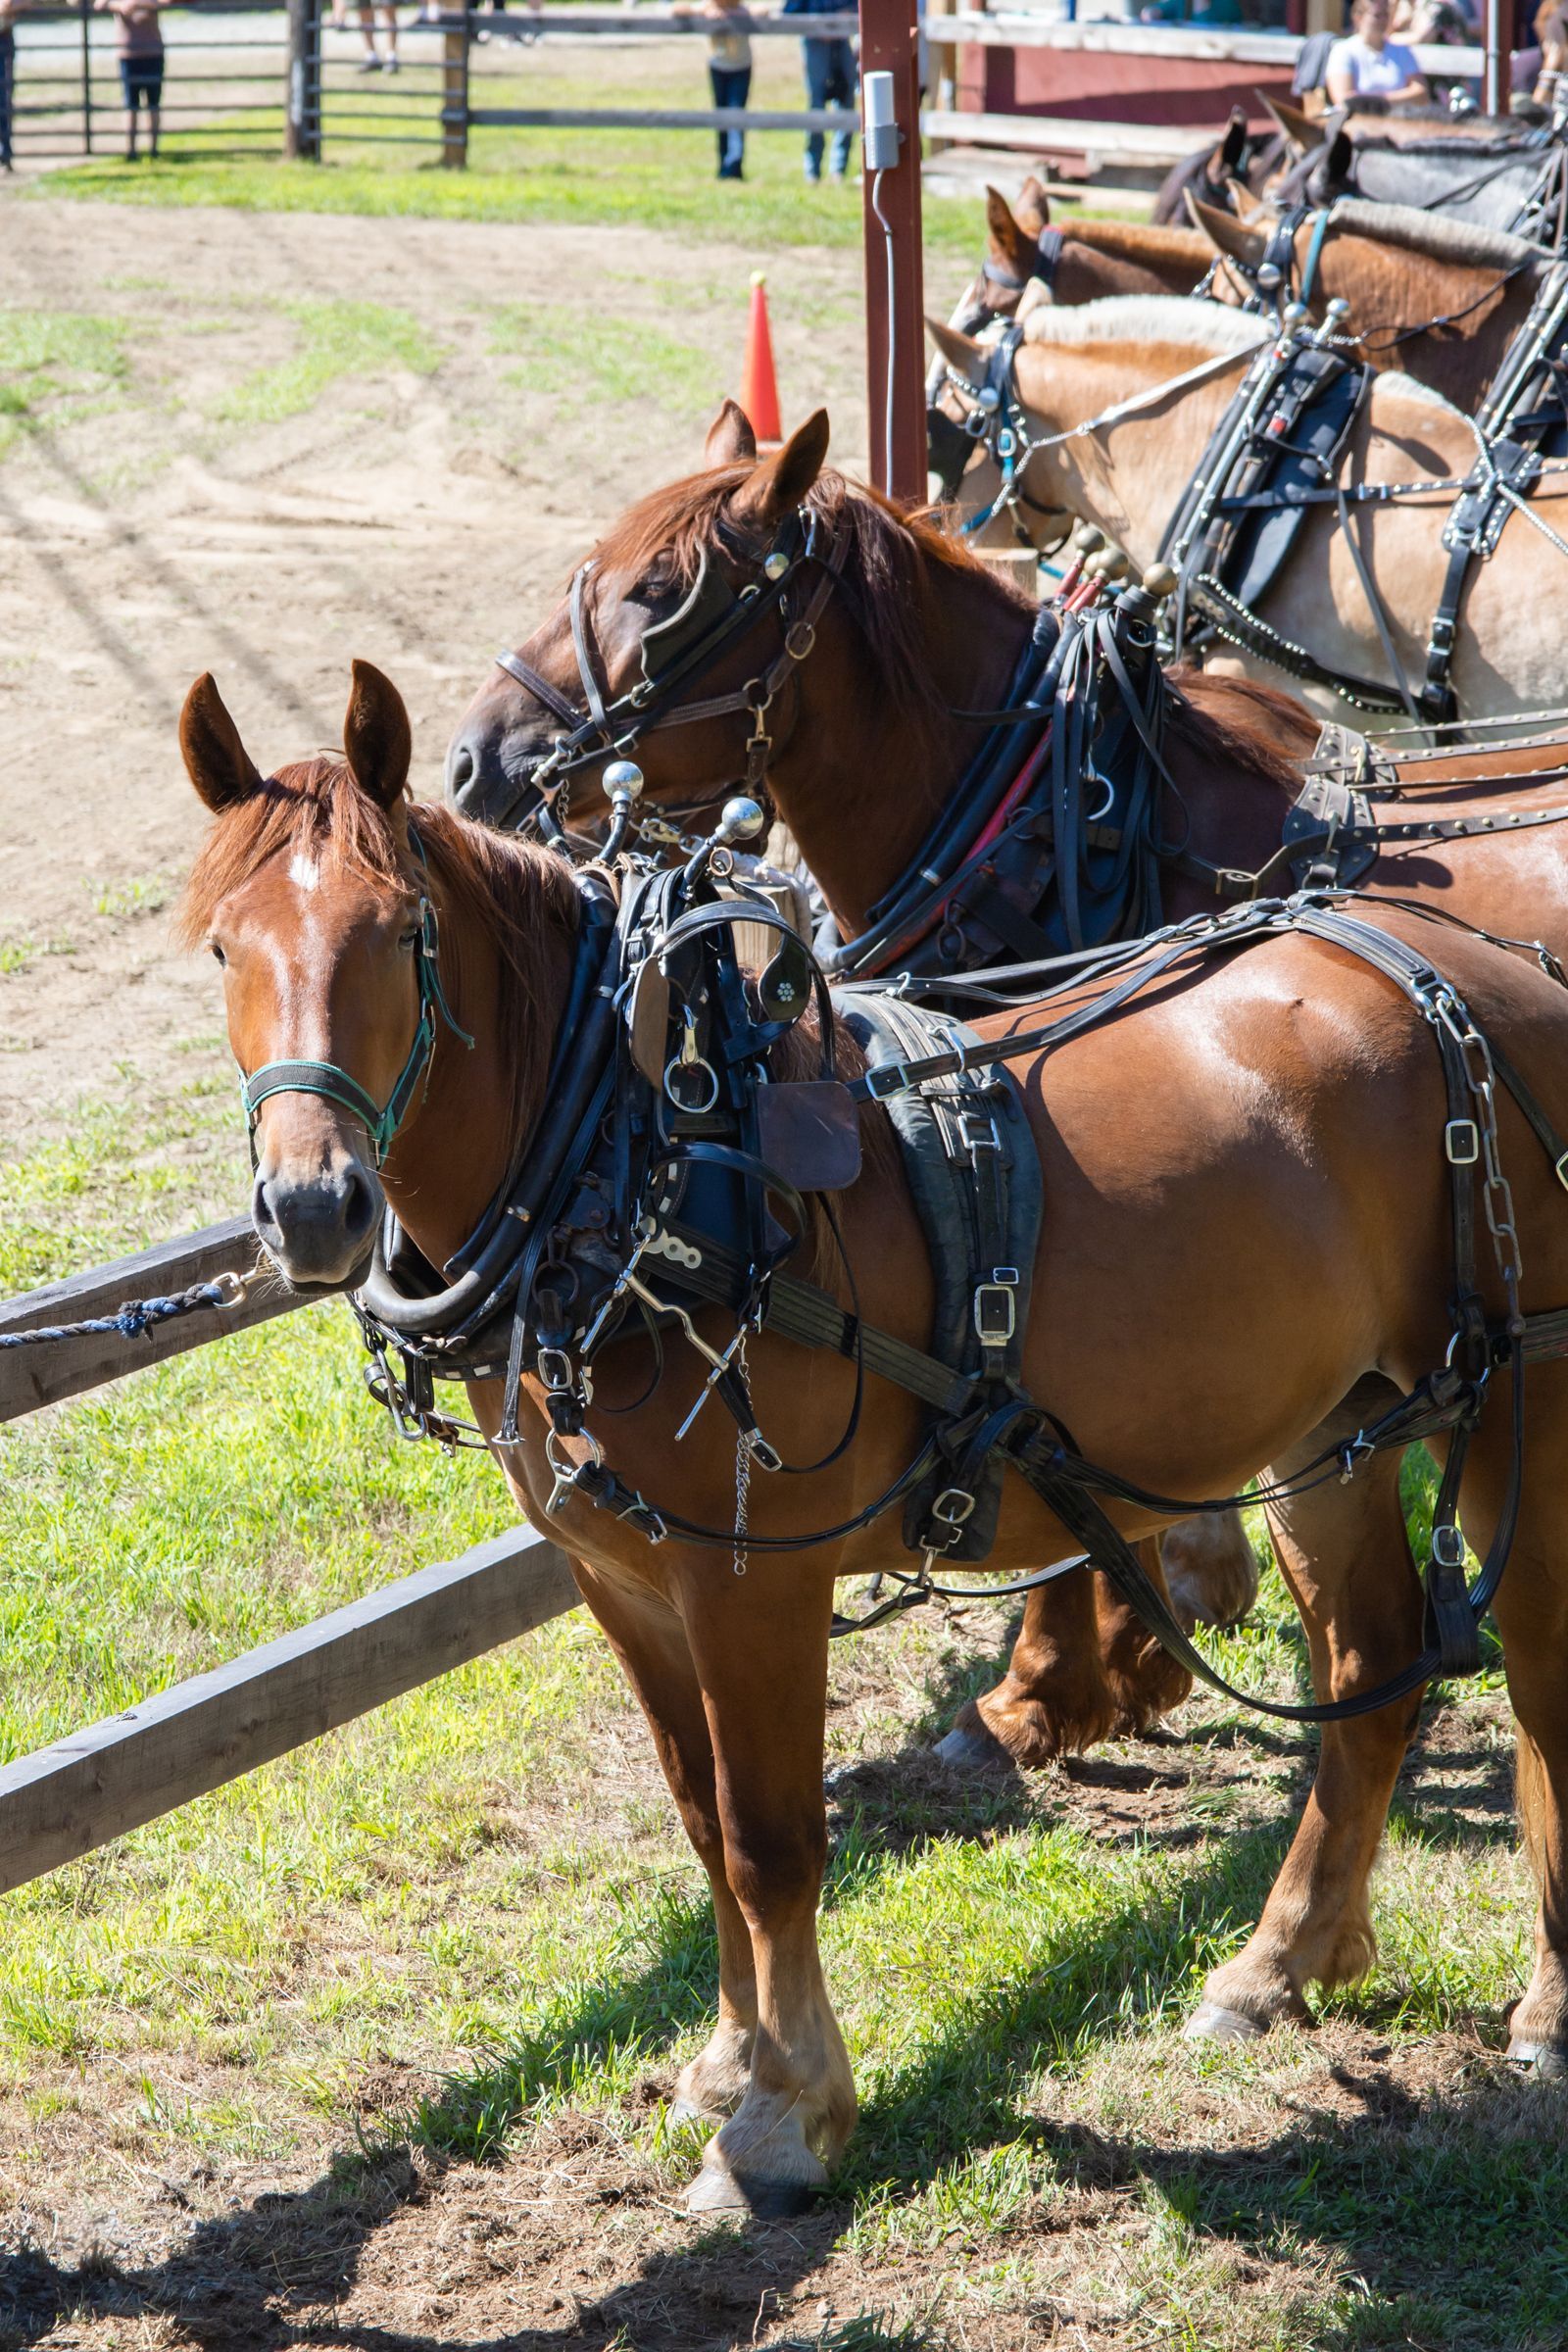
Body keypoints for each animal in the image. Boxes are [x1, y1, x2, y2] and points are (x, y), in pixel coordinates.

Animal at [182, 655, 1568, 2213]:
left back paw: (1547, 2012)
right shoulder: (625, 1582)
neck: (646, 1166)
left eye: (401, 931)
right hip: (1340, 1416)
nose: (314, 1206)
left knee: (1541, 1679)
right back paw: (1277, 1965)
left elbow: (773, 1842)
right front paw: (722, 2063)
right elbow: (701, 1821)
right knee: (1375, 1670)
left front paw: (782, 2115)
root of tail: (1497, 970)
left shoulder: (749, 1581)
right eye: (225, 947)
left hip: (1519, 1402)